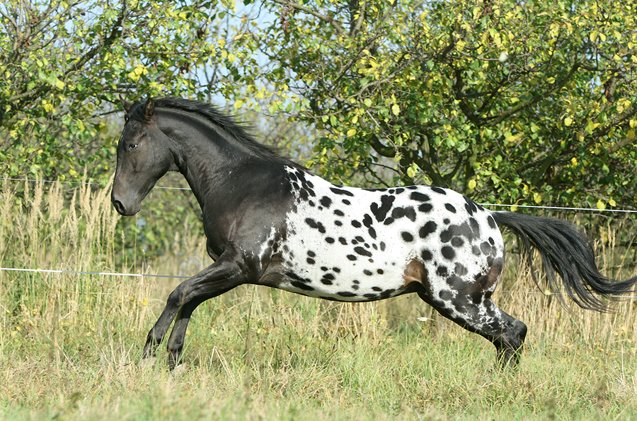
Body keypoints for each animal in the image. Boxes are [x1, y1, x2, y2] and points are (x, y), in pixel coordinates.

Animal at [110, 97, 636, 368]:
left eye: (130, 144)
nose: (120, 204)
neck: (241, 182)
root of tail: (488, 216)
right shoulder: (227, 268)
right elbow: (189, 302)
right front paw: (171, 359)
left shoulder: (240, 266)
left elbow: (179, 294)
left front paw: (148, 354)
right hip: (459, 299)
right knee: (512, 335)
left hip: (459, 299)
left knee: (512, 333)